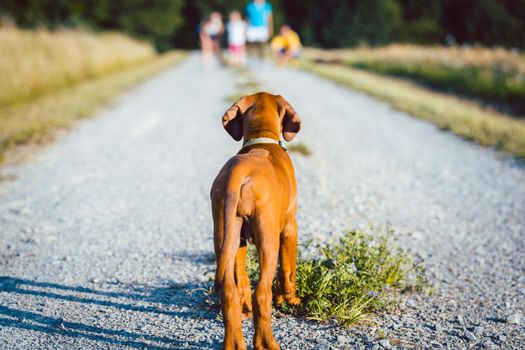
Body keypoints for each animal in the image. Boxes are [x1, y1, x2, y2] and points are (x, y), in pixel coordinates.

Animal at [211, 93, 300, 350]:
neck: (262, 141)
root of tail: (239, 172)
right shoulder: (290, 228)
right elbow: (288, 270)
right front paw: (290, 298)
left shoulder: (240, 240)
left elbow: (240, 279)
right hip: (268, 239)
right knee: (261, 292)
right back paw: (266, 342)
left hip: (224, 233)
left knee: (229, 292)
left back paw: (234, 343)